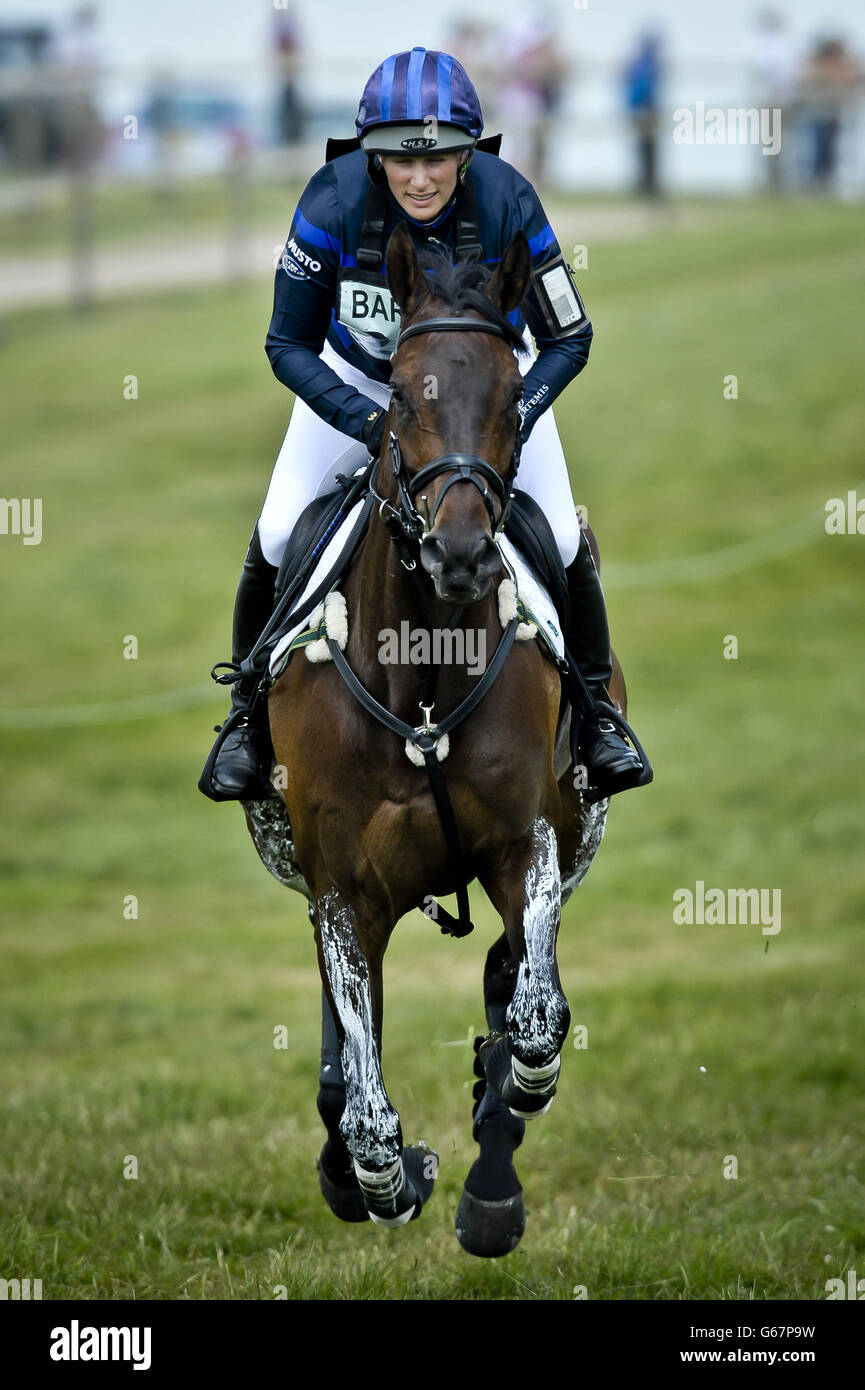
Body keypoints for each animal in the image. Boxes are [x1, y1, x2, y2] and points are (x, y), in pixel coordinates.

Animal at [241, 222, 623, 1256]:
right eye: (405, 395)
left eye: (509, 399)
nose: (459, 554)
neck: (418, 679)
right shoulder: (339, 893)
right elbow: (362, 1096)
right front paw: (383, 1174)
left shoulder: (528, 849)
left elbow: (532, 1024)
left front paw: (490, 1167)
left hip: (576, 834)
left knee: (514, 980)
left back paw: (493, 1184)